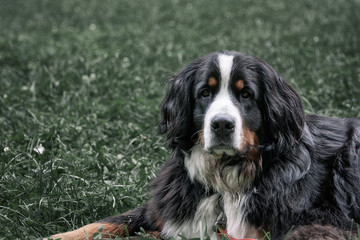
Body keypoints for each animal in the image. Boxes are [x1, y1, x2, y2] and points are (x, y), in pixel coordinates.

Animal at [48, 50, 360, 240]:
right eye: (205, 93)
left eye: (246, 94)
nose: (221, 124)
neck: (225, 180)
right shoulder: (170, 205)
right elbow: (112, 221)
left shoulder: (314, 222)